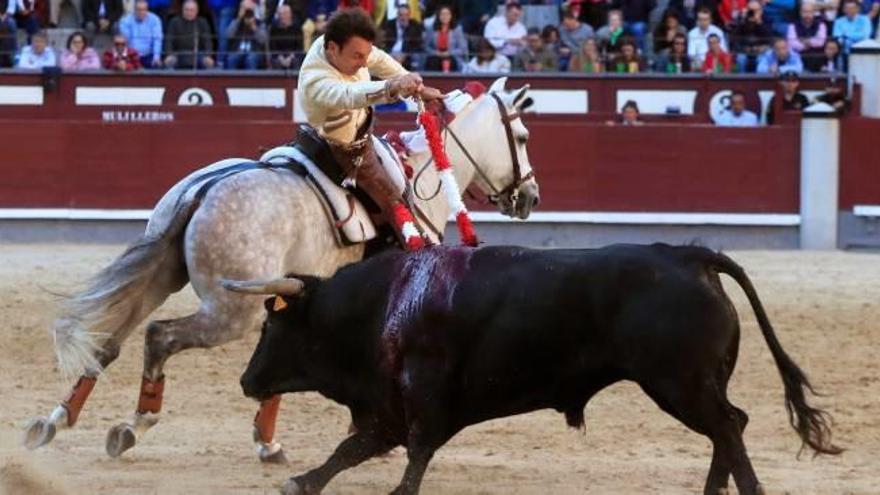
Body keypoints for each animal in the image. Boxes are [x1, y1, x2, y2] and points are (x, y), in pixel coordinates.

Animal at [232, 245, 840, 495]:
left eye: (270, 329)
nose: (245, 381)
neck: (383, 302)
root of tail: (688, 255)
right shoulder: (387, 408)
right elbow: (350, 449)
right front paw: (301, 480)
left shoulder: (421, 398)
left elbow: (414, 451)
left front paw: (398, 492)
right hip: (693, 384)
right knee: (730, 426)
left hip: (678, 383)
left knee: (728, 427)